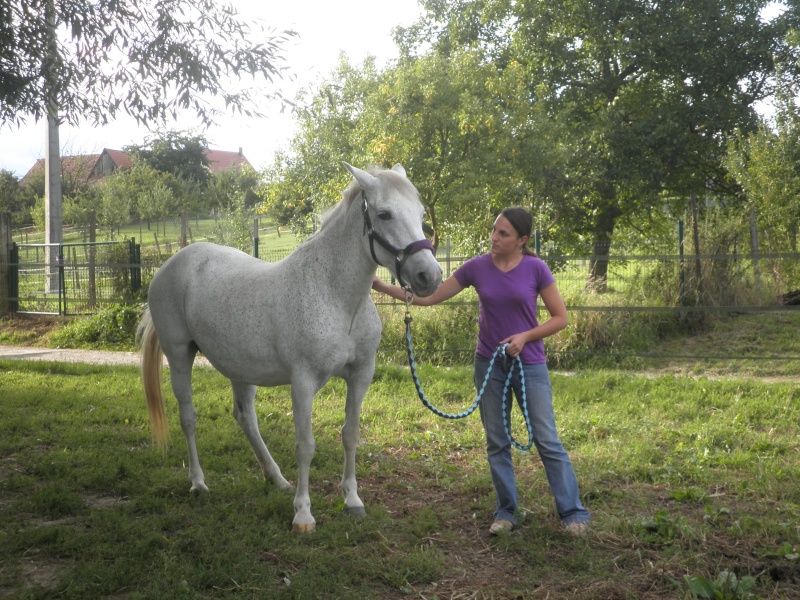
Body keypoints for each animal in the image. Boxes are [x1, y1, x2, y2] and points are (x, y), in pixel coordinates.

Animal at [137, 163, 438, 528]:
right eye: (384, 214)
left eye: (420, 213)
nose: (430, 276)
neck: (335, 297)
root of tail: (171, 263)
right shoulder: (303, 382)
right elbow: (305, 445)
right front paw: (303, 514)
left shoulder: (361, 374)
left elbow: (350, 434)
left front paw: (352, 500)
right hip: (179, 355)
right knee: (188, 417)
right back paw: (198, 483)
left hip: (241, 368)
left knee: (245, 418)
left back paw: (277, 478)